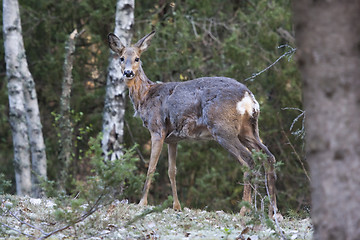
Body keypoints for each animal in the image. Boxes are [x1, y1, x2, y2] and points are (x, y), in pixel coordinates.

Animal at [108, 31, 280, 217]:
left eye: (137, 58)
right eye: (121, 58)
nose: (128, 73)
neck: (145, 96)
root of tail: (249, 98)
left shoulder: (157, 129)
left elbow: (151, 167)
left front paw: (142, 202)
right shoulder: (172, 139)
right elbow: (172, 171)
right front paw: (177, 206)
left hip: (223, 130)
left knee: (248, 160)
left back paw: (244, 209)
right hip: (249, 130)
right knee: (268, 156)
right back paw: (273, 210)